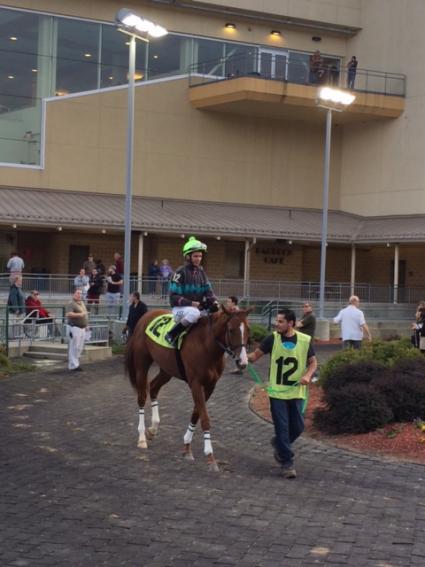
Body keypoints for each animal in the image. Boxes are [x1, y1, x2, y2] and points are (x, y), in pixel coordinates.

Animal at [124, 308, 250, 472]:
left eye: (248, 330)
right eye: (231, 330)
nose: (243, 362)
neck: (206, 345)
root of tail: (145, 316)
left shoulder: (210, 386)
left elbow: (196, 414)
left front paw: (187, 447)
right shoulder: (196, 384)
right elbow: (205, 418)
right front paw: (210, 456)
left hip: (167, 369)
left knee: (153, 388)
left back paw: (153, 428)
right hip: (142, 364)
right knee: (141, 396)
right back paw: (142, 438)